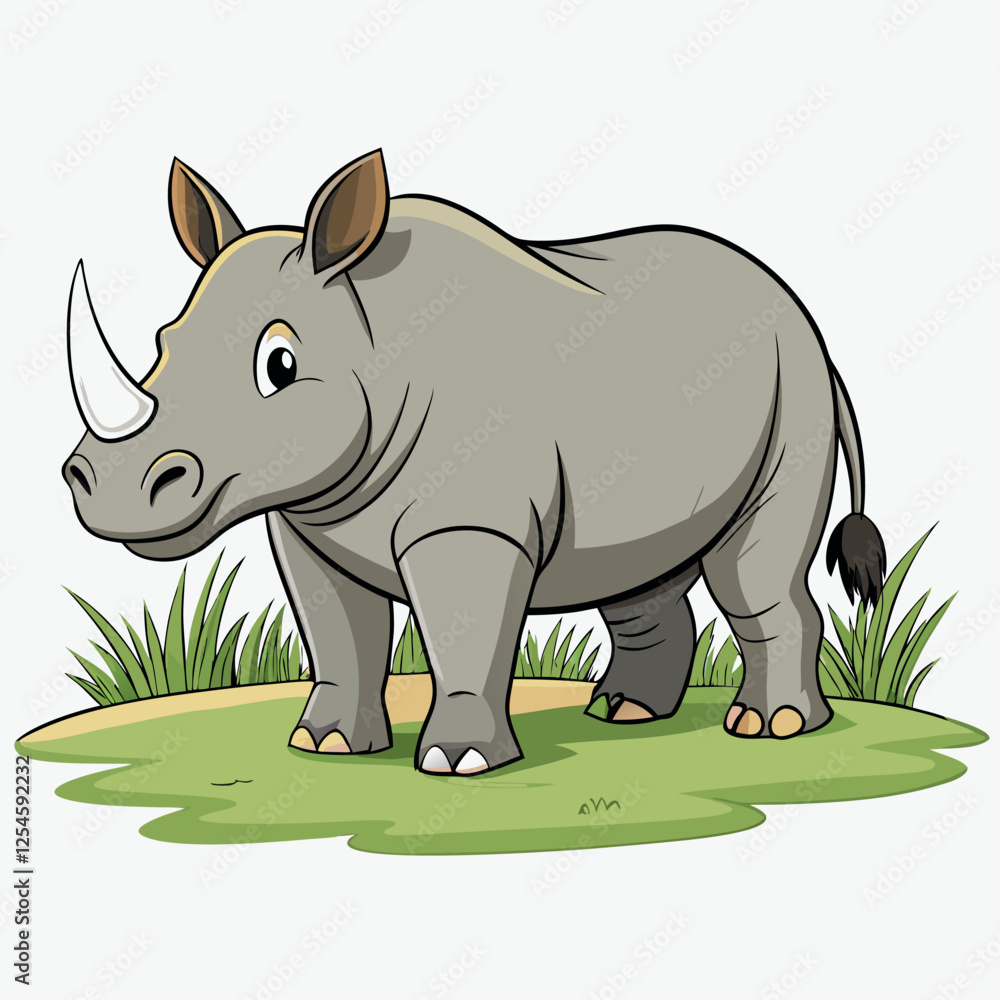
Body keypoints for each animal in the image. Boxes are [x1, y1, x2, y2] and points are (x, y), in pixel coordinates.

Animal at [62, 149, 886, 775]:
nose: (106, 484)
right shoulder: (305, 520)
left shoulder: (468, 525)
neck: (375, 336)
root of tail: (805, 318)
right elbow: (339, 632)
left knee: (753, 566)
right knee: (637, 566)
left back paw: (769, 728)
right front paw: (324, 745)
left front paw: (457, 763)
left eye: (281, 366)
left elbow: (463, 632)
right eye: (164, 344)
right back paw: (623, 713)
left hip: (795, 385)